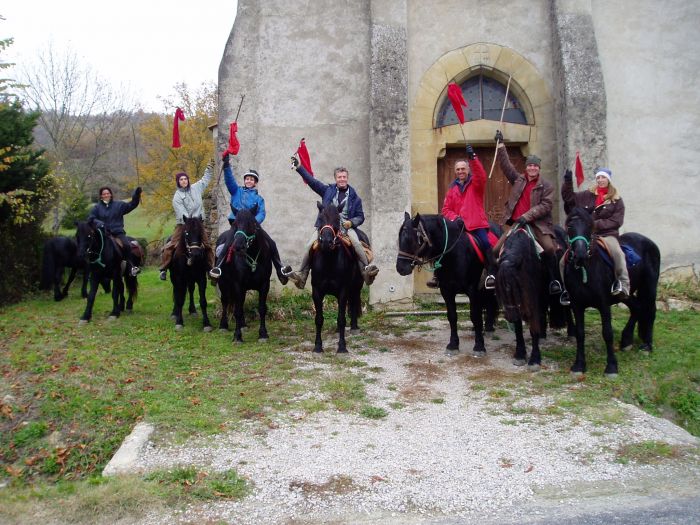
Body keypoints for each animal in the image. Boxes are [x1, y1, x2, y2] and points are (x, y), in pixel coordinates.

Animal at [217, 207, 272, 342]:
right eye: (235, 224)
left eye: (251, 224)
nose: (238, 246)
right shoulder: (238, 284)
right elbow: (236, 310)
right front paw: (237, 336)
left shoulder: (264, 285)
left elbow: (262, 308)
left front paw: (263, 334)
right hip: (223, 283)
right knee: (225, 301)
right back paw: (223, 325)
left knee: (240, 304)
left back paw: (243, 325)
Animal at [308, 201, 364, 352]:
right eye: (320, 219)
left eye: (337, 220)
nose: (327, 242)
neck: (329, 260)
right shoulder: (317, 291)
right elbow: (319, 319)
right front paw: (318, 346)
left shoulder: (343, 290)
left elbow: (341, 319)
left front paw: (342, 347)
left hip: (357, 285)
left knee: (354, 300)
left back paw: (354, 326)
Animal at [396, 211, 500, 354]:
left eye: (410, 240)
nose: (400, 268)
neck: (454, 254)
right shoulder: (446, 290)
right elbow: (452, 316)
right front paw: (453, 344)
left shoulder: (473, 290)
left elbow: (474, 315)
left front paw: (479, 346)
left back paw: (489, 327)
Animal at [560, 207, 660, 374]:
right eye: (569, 226)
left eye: (589, 226)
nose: (580, 255)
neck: (586, 270)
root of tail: (649, 241)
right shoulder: (577, 305)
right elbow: (580, 333)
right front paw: (579, 365)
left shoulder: (604, 304)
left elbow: (607, 333)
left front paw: (612, 366)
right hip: (626, 294)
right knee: (637, 308)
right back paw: (626, 341)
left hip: (649, 287)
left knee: (651, 311)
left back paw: (647, 346)